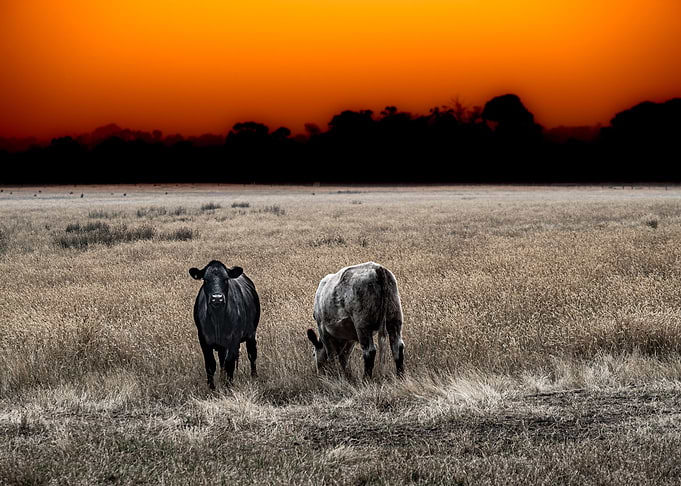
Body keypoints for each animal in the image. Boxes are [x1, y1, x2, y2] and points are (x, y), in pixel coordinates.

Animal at [189, 260, 260, 388]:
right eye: (205, 280)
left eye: (226, 279)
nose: (217, 298)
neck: (218, 319)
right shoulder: (203, 340)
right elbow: (210, 364)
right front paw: (211, 388)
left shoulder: (234, 339)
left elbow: (230, 363)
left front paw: (229, 386)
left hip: (251, 334)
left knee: (252, 354)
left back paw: (254, 376)